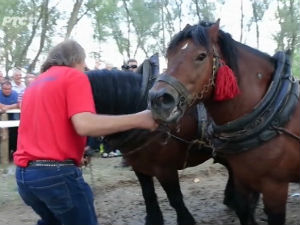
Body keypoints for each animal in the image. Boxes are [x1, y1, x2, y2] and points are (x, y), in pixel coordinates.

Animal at [86, 67, 234, 224]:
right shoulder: (139, 167)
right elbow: (148, 194)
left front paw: (185, 219)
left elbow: (175, 198)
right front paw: (153, 218)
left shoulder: (165, 169)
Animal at [149, 19, 298, 225]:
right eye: (168, 56)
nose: (158, 99)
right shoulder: (242, 180)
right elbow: (244, 210)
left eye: (201, 56)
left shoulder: (275, 188)